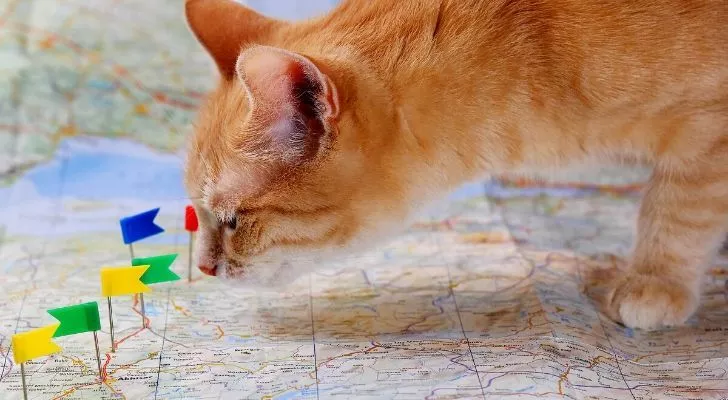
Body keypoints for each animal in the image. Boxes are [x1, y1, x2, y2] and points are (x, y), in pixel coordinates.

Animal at [183, 0, 728, 332]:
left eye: (232, 220)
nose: (203, 269)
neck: (535, 49)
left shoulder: (707, 129)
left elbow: (676, 208)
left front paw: (656, 282)